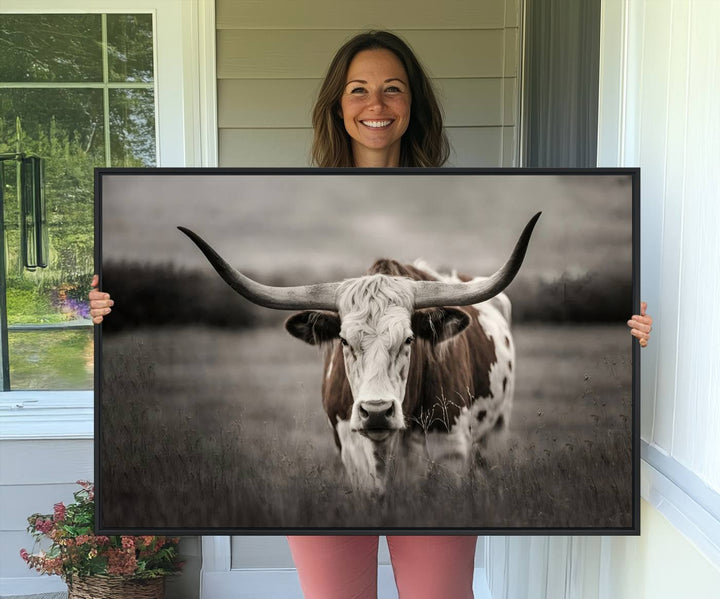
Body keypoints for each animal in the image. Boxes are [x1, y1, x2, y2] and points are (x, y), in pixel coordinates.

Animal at [179, 213, 540, 494]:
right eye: (343, 340)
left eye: (409, 339)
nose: (376, 411)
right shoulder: (352, 452)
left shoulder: (450, 448)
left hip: (495, 435)